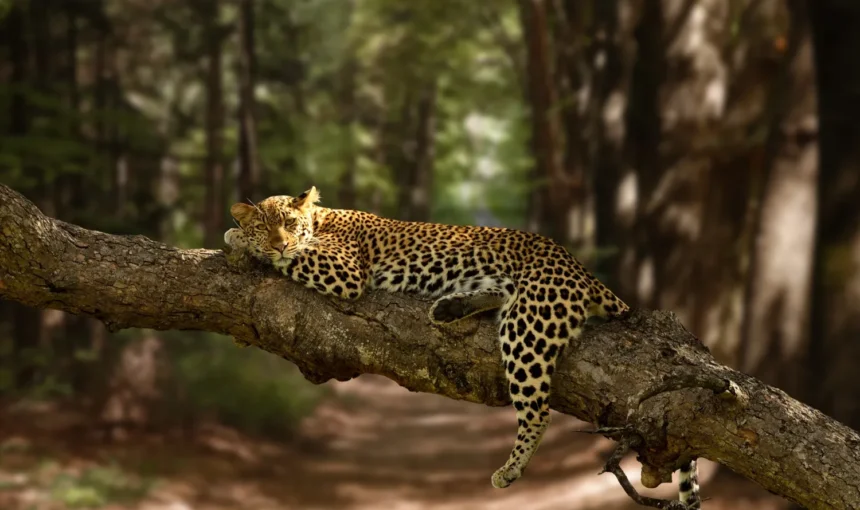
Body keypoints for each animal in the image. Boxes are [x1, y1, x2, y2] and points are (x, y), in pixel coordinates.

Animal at [223, 186, 701, 508]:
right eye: (266, 225)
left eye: (289, 225)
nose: (279, 240)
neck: (321, 219)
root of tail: (578, 267)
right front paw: (241, 236)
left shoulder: (344, 269)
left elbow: (293, 257)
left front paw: (238, 240)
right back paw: (450, 308)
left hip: (528, 327)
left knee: (538, 410)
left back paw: (510, 469)